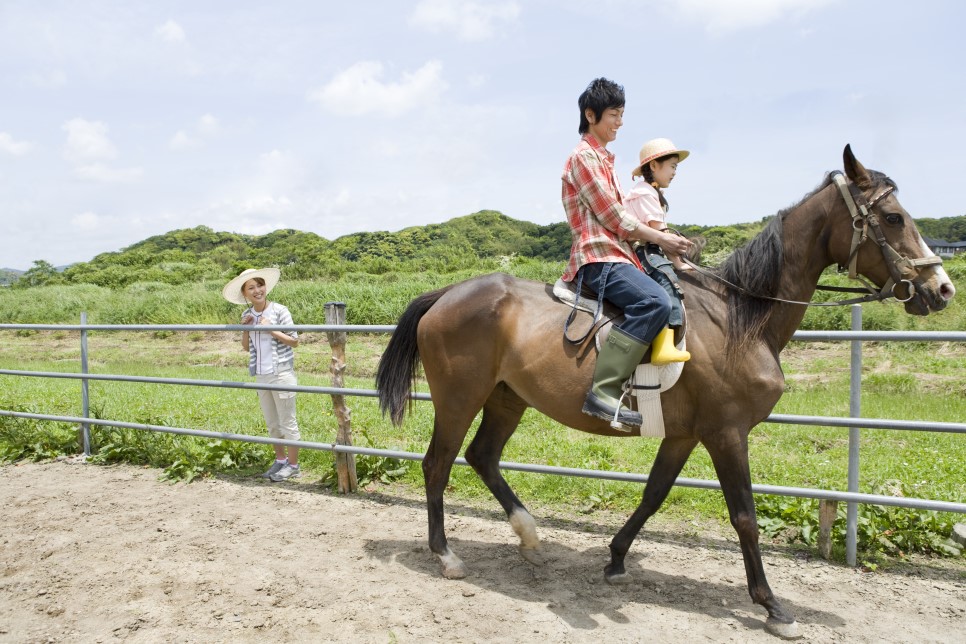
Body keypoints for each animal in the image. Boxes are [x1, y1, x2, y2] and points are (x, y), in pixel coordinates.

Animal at [374, 147, 956, 640]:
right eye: (892, 218)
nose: (942, 289)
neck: (739, 318)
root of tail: (447, 293)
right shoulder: (726, 433)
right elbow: (744, 516)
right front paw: (773, 606)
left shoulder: (685, 435)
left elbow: (653, 496)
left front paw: (614, 560)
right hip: (459, 398)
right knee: (438, 463)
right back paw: (447, 555)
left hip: (506, 398)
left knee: (483, 457)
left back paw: (531, 539)